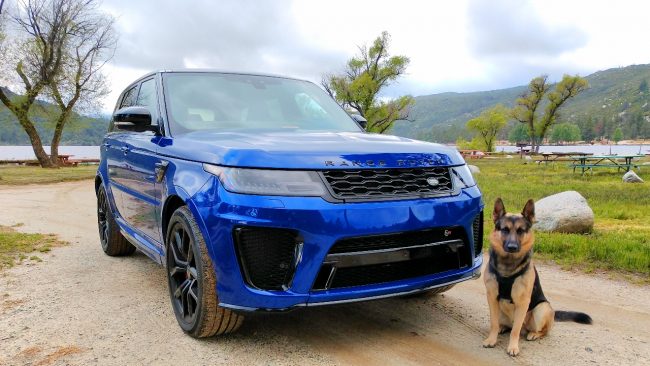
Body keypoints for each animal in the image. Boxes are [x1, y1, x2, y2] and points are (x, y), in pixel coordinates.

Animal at [478, 199, 588, 356]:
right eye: (505, 229)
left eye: (520, 231)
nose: (512, 247)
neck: (508, 266)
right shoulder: (492, 297)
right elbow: (493, 323)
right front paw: (491, 340)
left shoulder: (523, 302)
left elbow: (516, 331)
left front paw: (513, 347)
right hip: (501, 310)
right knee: (505, 325)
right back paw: (502, 327)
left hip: (541, 309)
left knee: (539, 330)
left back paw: (534, 334)